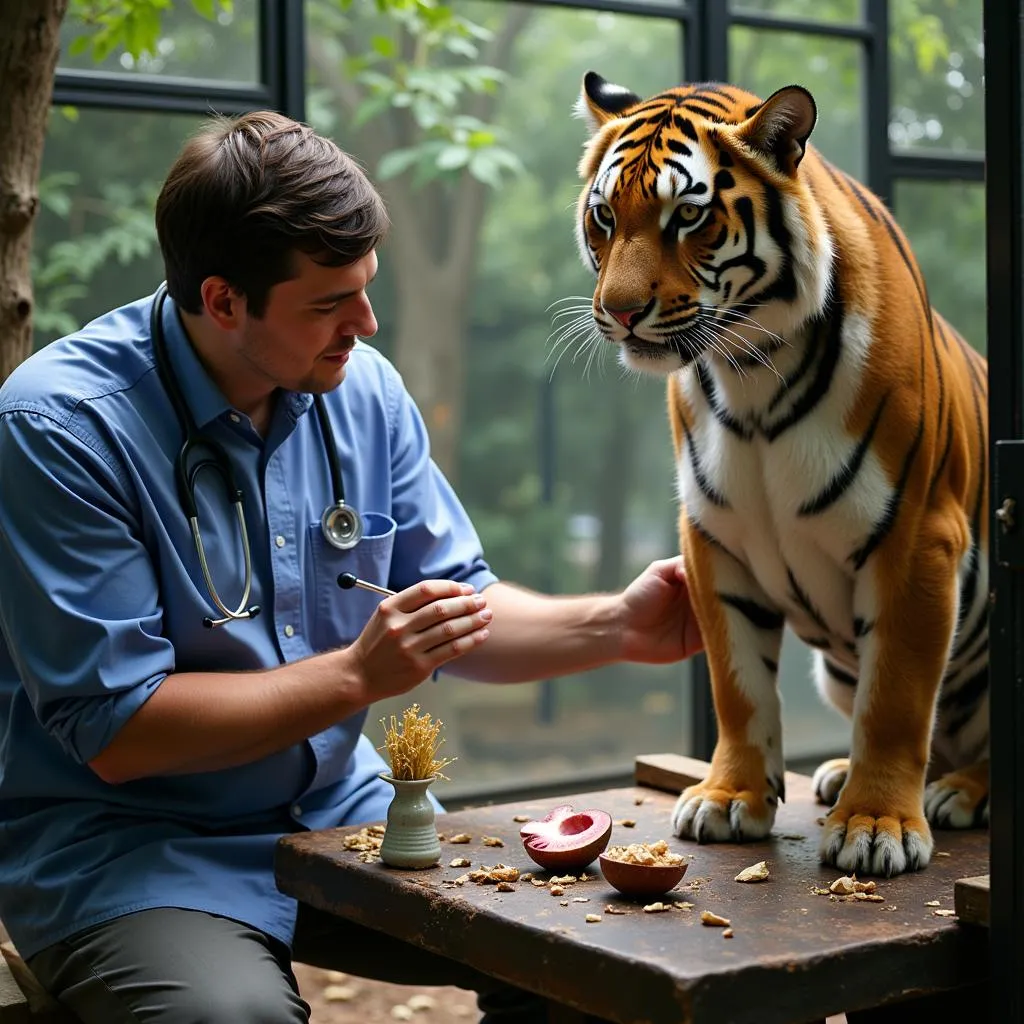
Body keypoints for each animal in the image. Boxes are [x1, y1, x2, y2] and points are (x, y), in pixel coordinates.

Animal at [573, 72, 987, 876]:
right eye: (605, 215)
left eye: (688, 215)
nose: (620, 312)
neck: (750, 374)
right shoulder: (714, 538)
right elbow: (739, 688)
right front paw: (730, 797)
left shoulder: (918, 538)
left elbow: (896, 698)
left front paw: (877, 825)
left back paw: (958, 790)